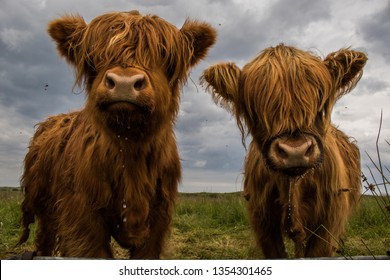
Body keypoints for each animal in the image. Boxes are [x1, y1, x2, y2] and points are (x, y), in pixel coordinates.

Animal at [18, 11, 216, 260]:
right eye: (94, 56)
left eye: (164, 55)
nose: (124, 82)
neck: (130, 150)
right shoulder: (82, 218)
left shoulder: (158, 220)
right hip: (44, 204)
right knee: (45, 236)